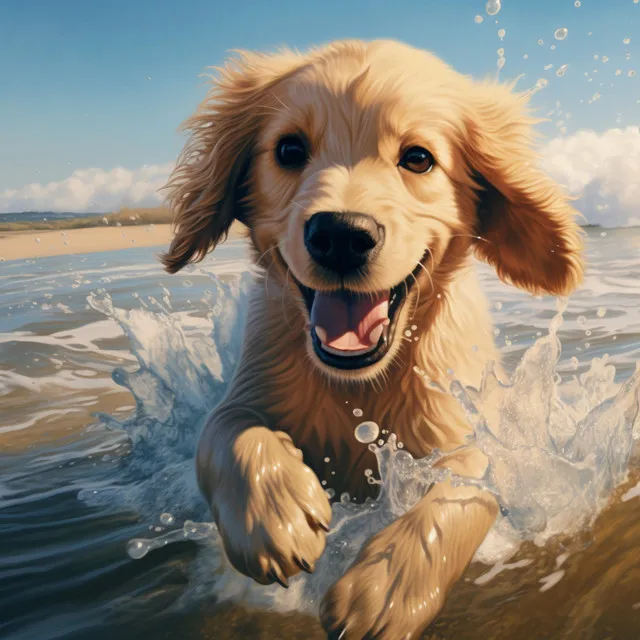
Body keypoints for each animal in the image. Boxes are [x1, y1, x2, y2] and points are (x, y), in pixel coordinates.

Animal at [161, 38, 584, 636]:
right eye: (289, 149)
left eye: (418, 158)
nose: (340, 235)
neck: (358, 385)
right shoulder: (253, 379)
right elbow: (224, 433)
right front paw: (273, 517)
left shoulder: (468, 427)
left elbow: (468, 486)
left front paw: (388, 588)